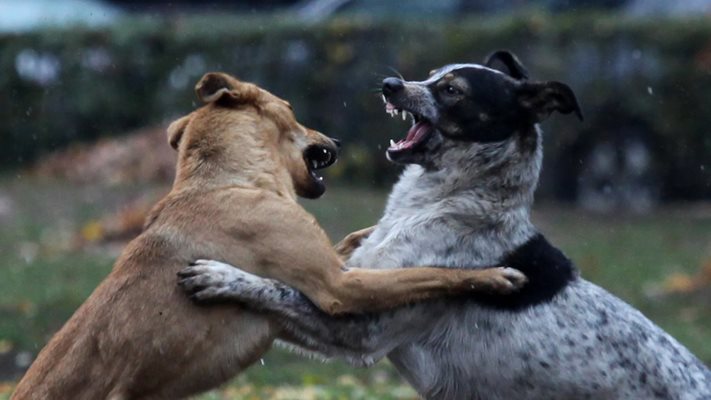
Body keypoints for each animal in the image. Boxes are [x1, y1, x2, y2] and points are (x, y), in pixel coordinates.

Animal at [9, 72, 524, 400]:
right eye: (292, 109)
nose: (336, 141)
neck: (226, 181)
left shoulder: (328, 267)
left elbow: (358, 239)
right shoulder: (340, 288)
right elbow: (432, 272)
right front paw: (496, 276)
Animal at [179, 51, 711, 398]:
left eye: (452, 90)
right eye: (432, 73)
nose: (390, 84)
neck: (443, 203)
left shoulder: (359, 327)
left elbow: (276, 288)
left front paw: (220, 275)